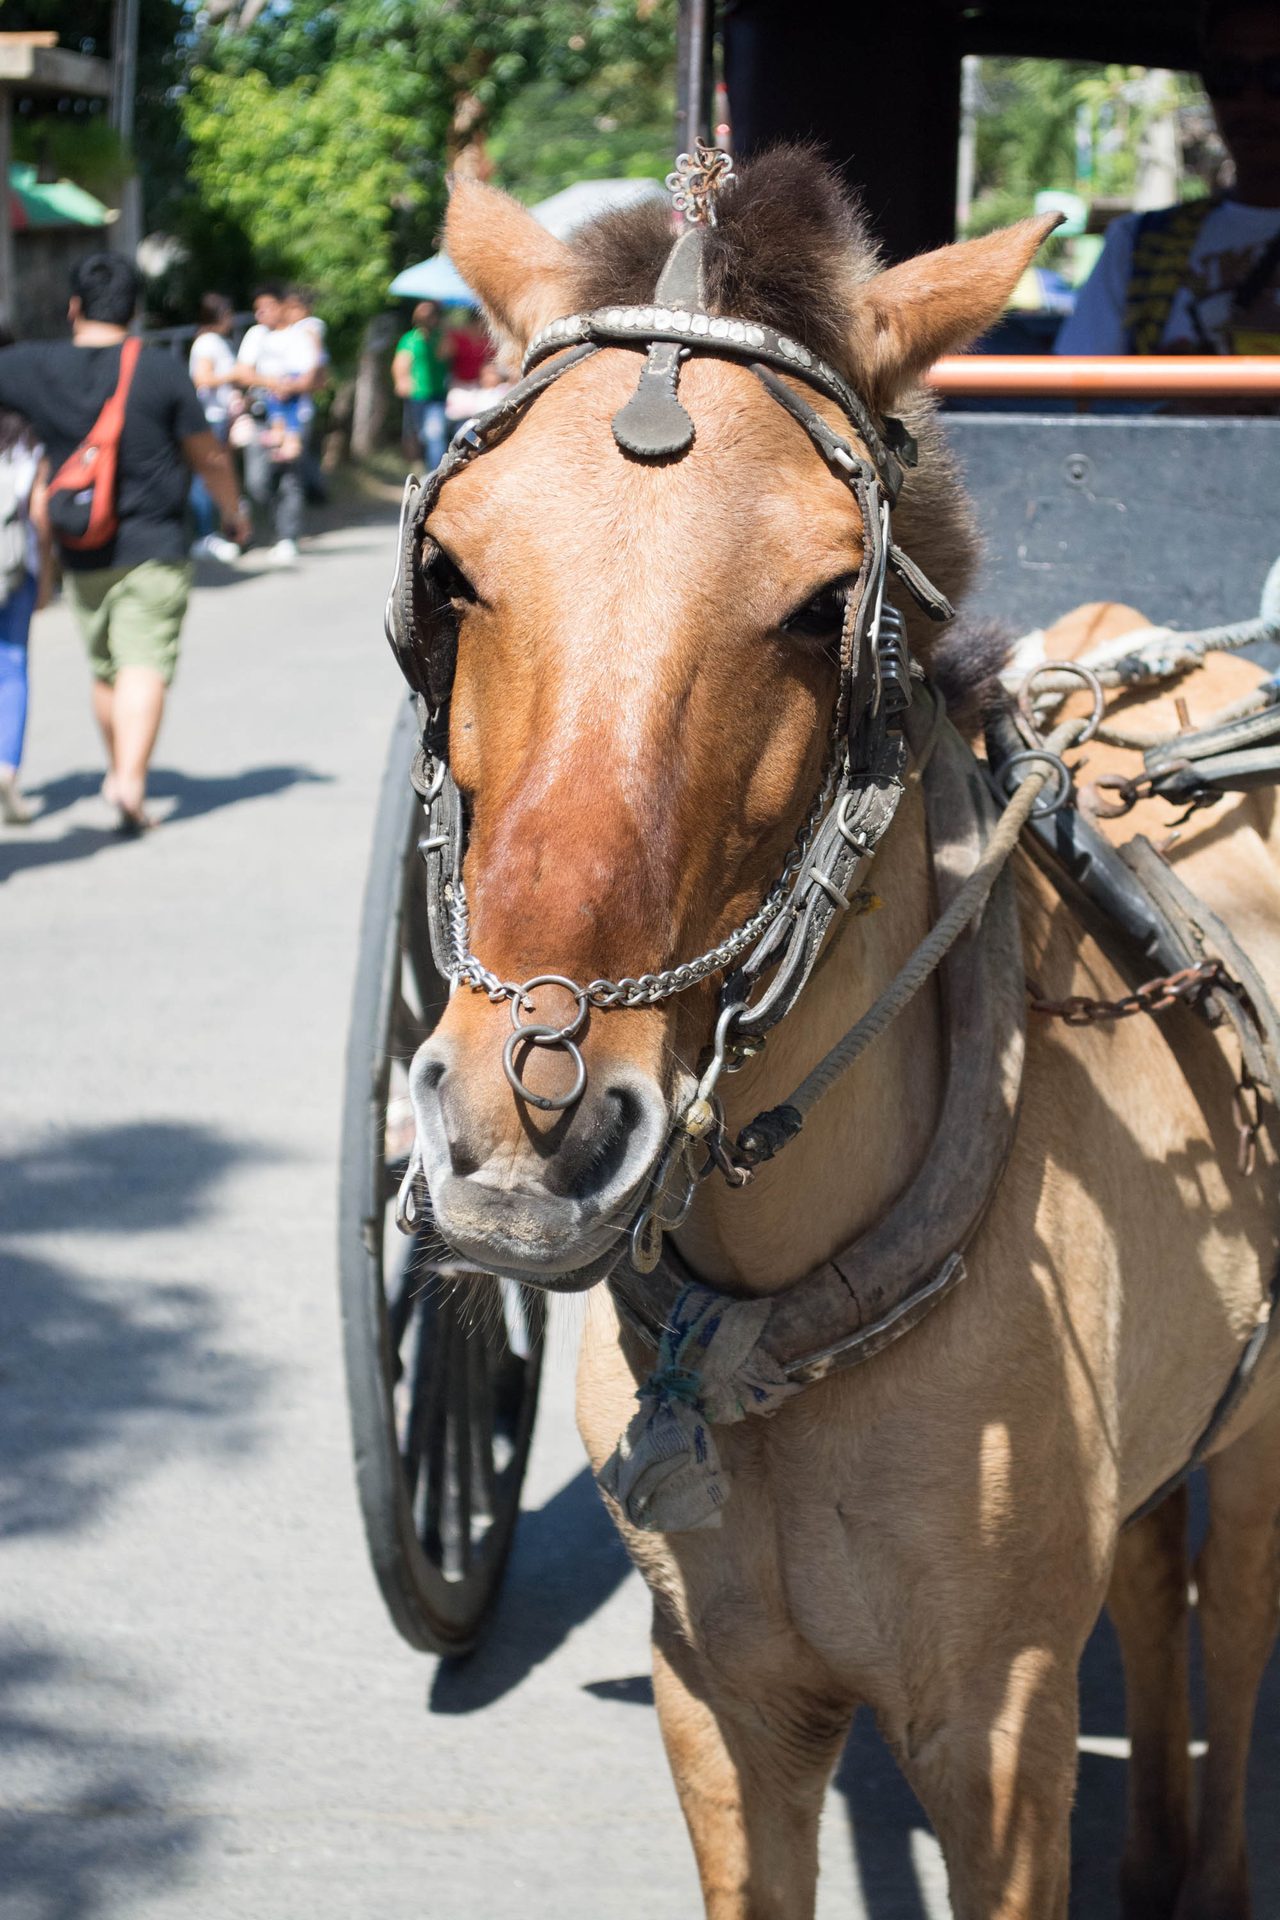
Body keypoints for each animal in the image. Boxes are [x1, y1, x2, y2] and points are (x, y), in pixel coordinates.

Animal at [405, 148, 1280, 1919]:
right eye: (451, 570)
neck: (769, 1320)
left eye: (826, 607)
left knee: (1236, 1611)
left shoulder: (997, 1733)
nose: (521, 1144)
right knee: (1154, 1572)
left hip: (1271, 1427)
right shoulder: (721, 1698)